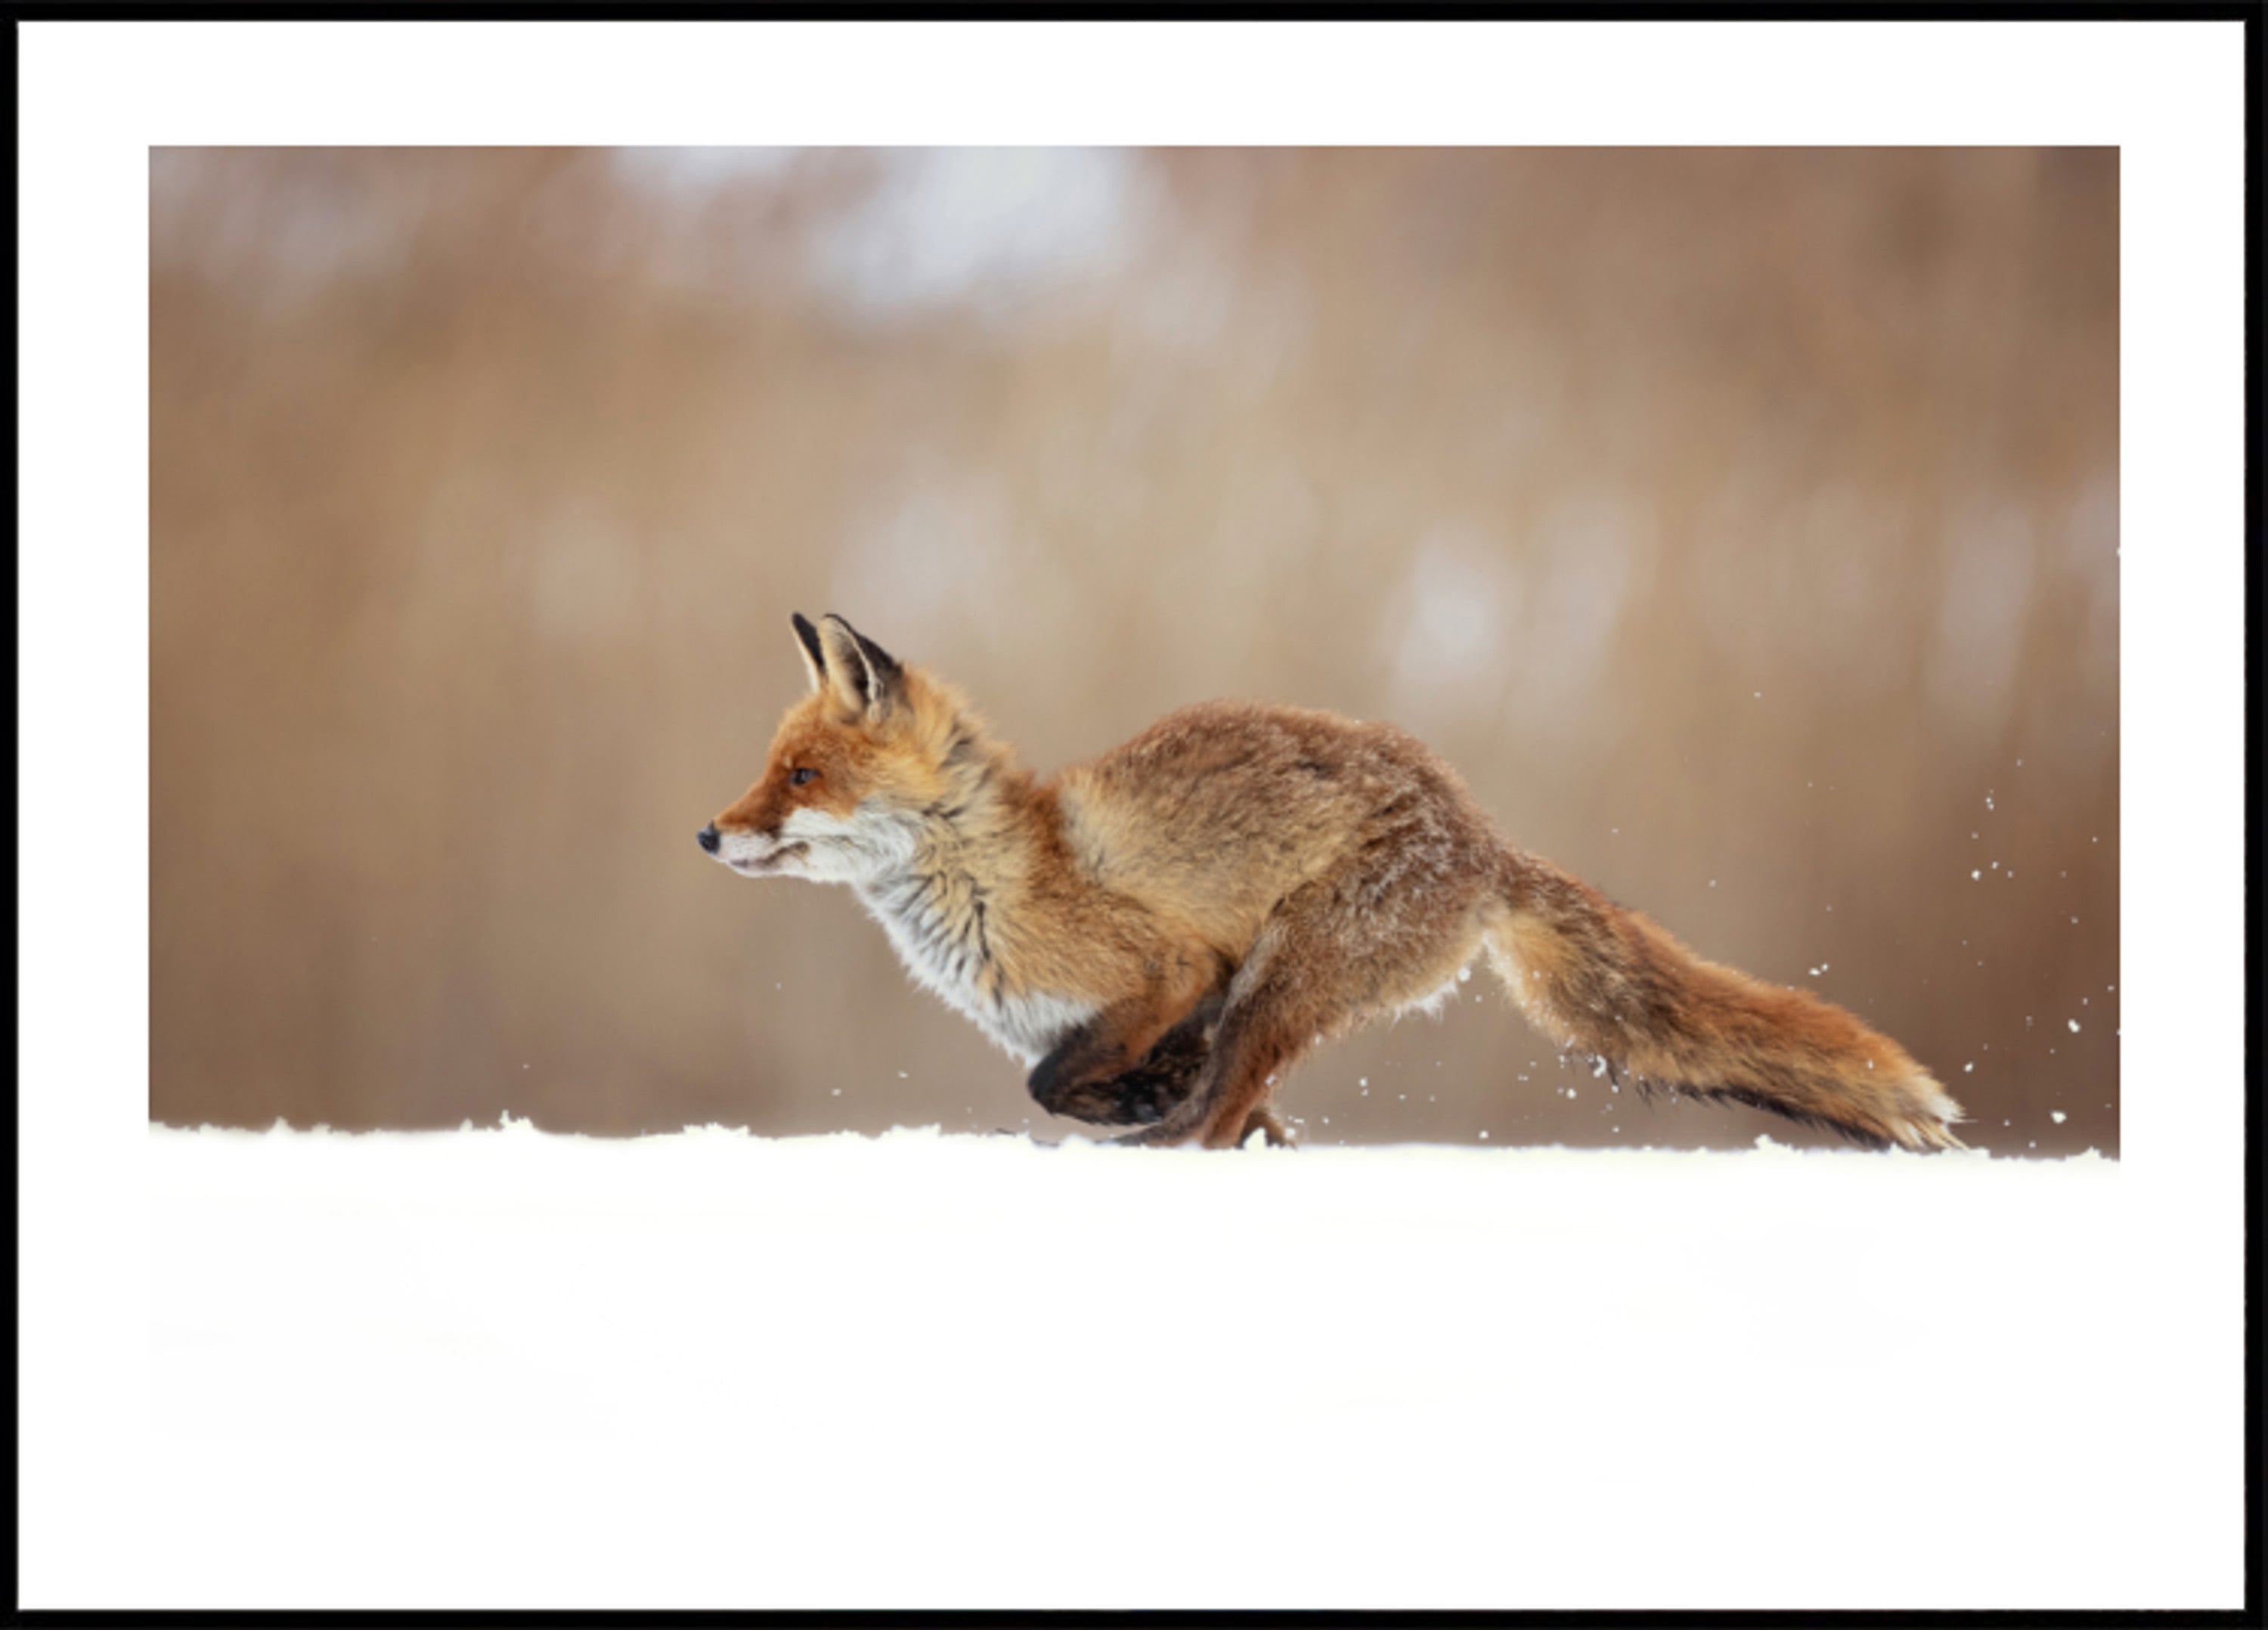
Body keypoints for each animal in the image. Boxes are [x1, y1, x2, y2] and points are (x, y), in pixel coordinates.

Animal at [699, 612, 1967, 1153]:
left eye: (802, 776)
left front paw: (1128, 1110)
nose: (708, 835)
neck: (995, 878)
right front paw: (1142, 1100)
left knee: (1217, 1119)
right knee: (1236, 1107)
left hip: (1283, 975)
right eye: (768, 767)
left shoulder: (1173, 968)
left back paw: (1164, 1146)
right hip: (1280, 992)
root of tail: (1482, 835)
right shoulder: (1149, 1011)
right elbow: (1094, 1081)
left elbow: (1054, 1082)